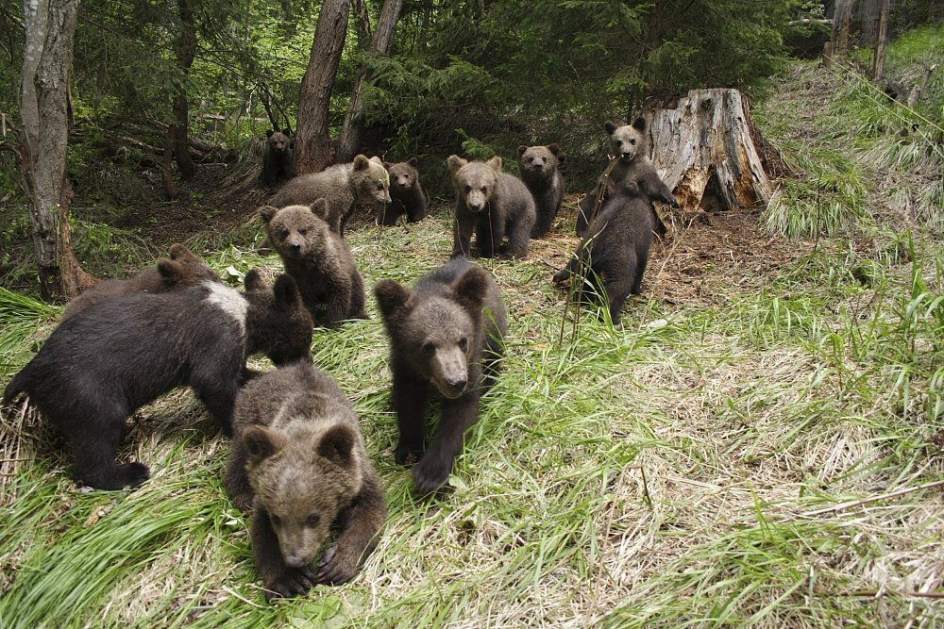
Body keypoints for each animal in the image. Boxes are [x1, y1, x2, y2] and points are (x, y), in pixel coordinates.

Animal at [2, 271, 313, 490]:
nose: (308, 363)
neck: (246, 314)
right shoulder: (216, 347)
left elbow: (244, 375)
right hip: (93, 401)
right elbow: (217, 387)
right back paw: (131, 473)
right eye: (307, 336)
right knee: (93, 456)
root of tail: (30, 372)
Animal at [224, 361, 386, 599]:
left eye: (314, 518)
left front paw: (336, 564)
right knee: (240, 455)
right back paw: (242, 496)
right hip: (249, 419)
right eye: (277, 518)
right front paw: (289, 580)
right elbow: (261, 533)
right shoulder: (265, 499)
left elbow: (370, 515)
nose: (295, 558)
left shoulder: (361, 478)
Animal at [258, 199, 367, 328]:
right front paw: (313, 322)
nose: (295, 246)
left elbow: (340, 295)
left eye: (303, 230)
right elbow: (305, 302)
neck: (307, 264)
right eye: (284, 231)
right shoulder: (300, 279)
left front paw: (333, 323)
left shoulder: (332, 272)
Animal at [374, 257, 508, 495]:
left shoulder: (471, 364)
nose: (455, 382)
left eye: (463, 341)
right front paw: (409, 450)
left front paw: (430, 474)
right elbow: (408, 403)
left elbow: (459, 416)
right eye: (427, 346)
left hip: (494, 332)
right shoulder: (406, 368)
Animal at [554, 179, 654, 324]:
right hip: (620, 271)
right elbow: (641, 269)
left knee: (583, 280)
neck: (630, 195)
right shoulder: (643, 247)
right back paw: (613, 320)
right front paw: (638, 290)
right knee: (614, 294)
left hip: (585, 258)